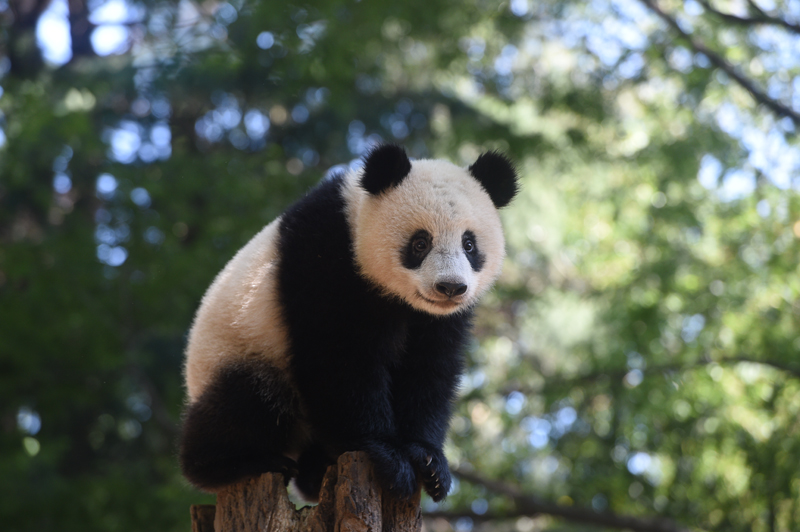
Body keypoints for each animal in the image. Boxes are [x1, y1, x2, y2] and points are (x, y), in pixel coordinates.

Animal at [180, 142, 520, 502]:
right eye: (420, 243)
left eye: (469, 244)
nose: (450, 288)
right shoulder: (324, 259)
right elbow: (340, 359)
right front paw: (388, 457)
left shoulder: (438, 320)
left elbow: (429, 370)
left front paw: (429, 462)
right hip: (241, 349)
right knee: (248, 398)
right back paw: (234, 463)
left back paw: (314, 473)